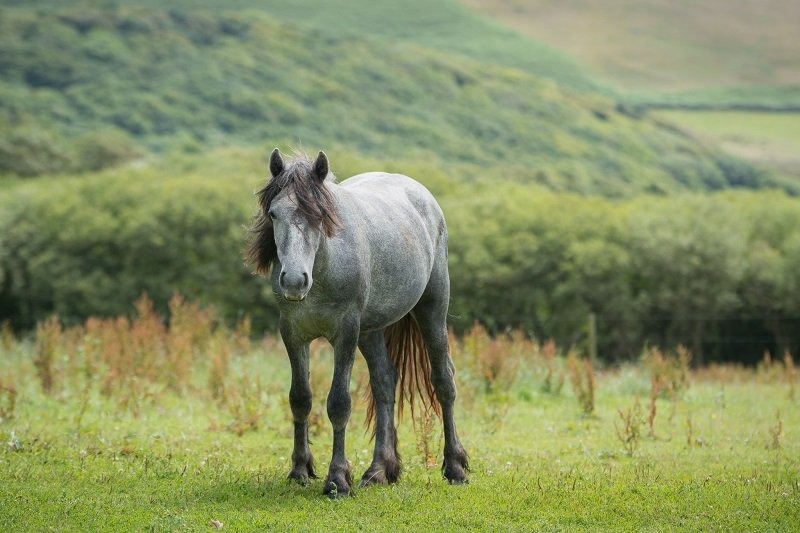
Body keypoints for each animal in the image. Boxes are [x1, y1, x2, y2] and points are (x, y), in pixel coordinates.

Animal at [247, 149, 466, 494]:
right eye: (273, 214)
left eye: (319, 216)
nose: (294, 281)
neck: (324, 267)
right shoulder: (293, 333)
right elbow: (300, 398)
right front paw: (300, 469)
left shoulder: (346, 332)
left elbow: (339, 403)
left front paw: (337, 479)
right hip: (371, 331)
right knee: (384, 383)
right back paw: (379, 470)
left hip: (432, 309)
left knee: (444, 381)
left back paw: (455, 468)